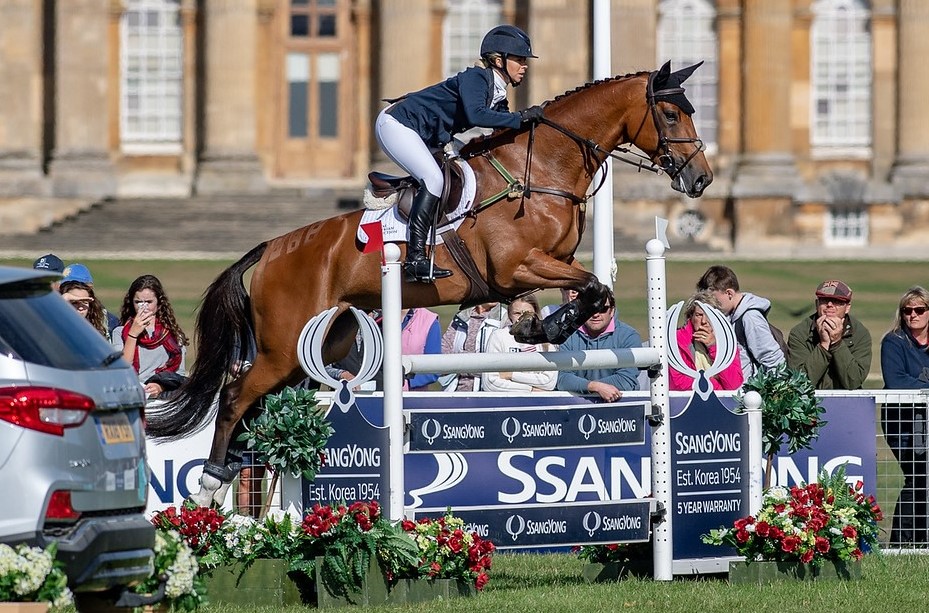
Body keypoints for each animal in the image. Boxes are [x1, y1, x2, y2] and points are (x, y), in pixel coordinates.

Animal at [146, 61, 713, 507]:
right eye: (670, 114)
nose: (701, 179)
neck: (544, 167)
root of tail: (271, 250)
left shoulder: (546, 266)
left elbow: (593, 290)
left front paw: (537, 329)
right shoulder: (516, 267)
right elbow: (592, 286)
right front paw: (545, 331)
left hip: (324, 343)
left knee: (258, 405)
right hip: (283, 346)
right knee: (235, 397)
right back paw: (208, 486)